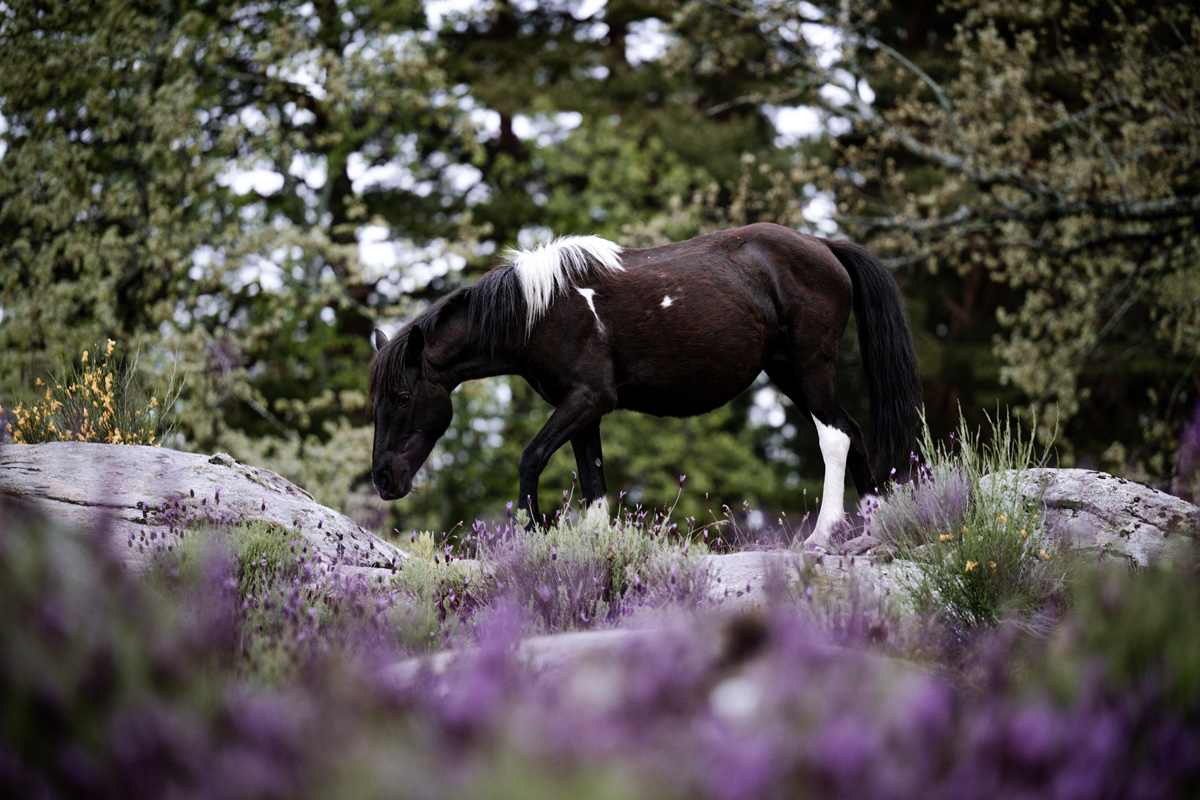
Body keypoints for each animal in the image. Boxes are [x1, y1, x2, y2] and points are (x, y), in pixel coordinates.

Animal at [368, 222, 920, 549]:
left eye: (402, 396)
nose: (383, 480)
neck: (541, 310)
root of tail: (825, 246)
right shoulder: (582, 409)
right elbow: (593, 484)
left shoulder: (588, 399)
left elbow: (531, 458)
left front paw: (532, 532)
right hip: (789, 372)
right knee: (853, 432)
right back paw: (871, 530)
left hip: (810, 366)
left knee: (836, 437)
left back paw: (823, 535)